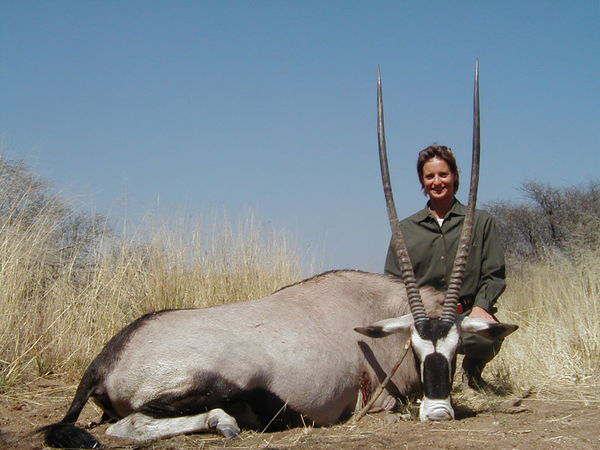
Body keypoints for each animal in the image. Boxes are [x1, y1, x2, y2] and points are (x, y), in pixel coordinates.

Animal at [40, 62, 517, 448]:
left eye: (455, 348)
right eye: (416, 348)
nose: (438, 413)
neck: (373, 316)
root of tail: (106, 360)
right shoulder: (379, 400)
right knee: (130, 425)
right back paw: (224, 423)